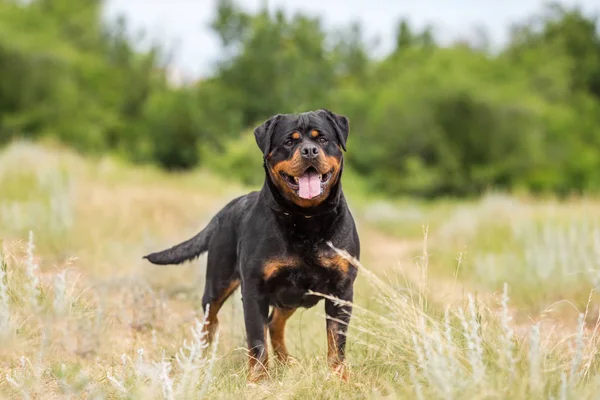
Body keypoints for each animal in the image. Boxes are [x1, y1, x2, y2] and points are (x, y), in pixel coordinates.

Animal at [144, 108, 360, 382]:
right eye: (289, 142)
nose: (309, 150)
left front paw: (340, 378)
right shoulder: (255, 290)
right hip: (218, 283)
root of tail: (224, 211)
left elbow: (336, 342)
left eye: (321, 139)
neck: (306, 219)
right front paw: (258, 381)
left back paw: (287, 362)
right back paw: (202, 361)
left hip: (290, 296)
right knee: (210, 322)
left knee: (275, 323)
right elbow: (256, 340)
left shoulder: (342, 290)